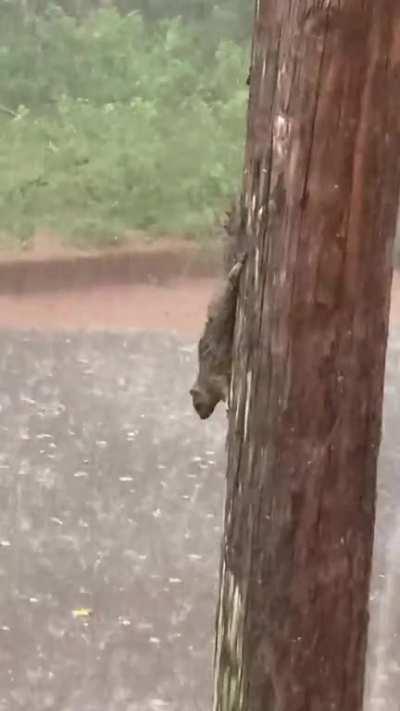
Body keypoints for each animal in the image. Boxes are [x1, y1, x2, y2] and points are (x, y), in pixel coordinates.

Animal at [190, 198, 247, 420]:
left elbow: (225, 389)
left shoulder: (216, 379)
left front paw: (230, 404)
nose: (202, 417)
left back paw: (237, 269)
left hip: (224, 302)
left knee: (231, 284)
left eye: (196, 403)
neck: (204, 381)